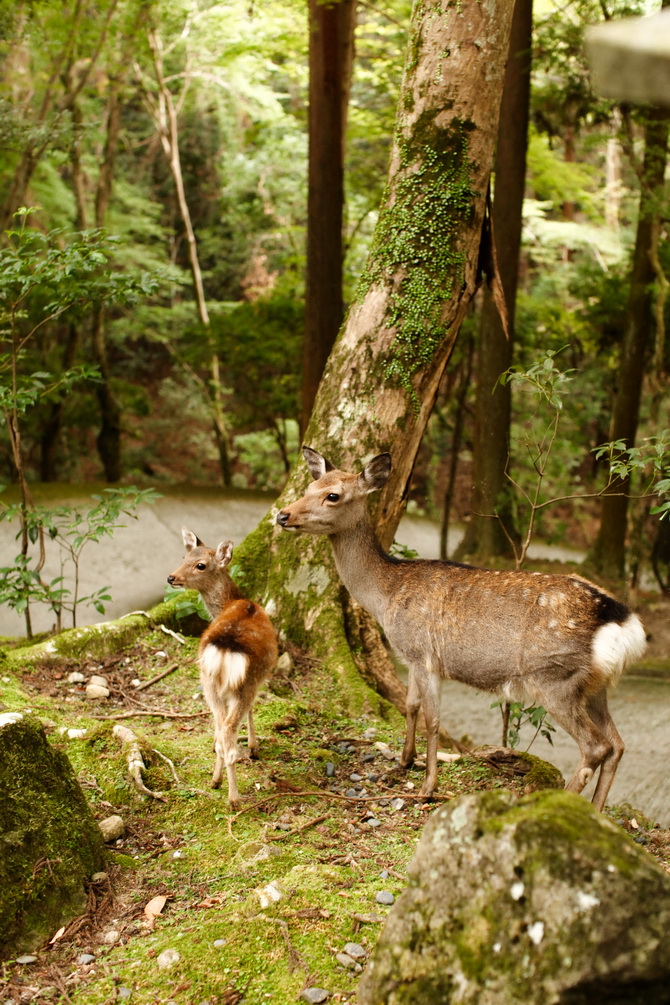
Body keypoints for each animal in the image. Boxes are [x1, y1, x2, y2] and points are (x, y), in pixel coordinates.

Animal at [167, 530, 277, 804]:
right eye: (184, 557)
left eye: (200, 564)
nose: (171, 577)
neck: (233, 601)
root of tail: (225, 646)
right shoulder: (257, 681)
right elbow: (253, 710)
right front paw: (254, 747)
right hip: (244, 682)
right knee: (228, 733)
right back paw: (234, 797)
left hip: (208, 682)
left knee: (219, 729)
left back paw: (215, 781)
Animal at [275, 448, 646, 808]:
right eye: (309, 486)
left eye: (333, 495)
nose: (282, 515)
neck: (386, 595)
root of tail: (622, 624)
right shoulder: (410, 655)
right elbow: (410, 705)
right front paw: (403, 762)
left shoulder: (424, 654)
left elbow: (433, 720)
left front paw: (427, 788)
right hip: (594, 686)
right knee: (617, 744)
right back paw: (595, 813)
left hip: (554, 678)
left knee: (595, 746)